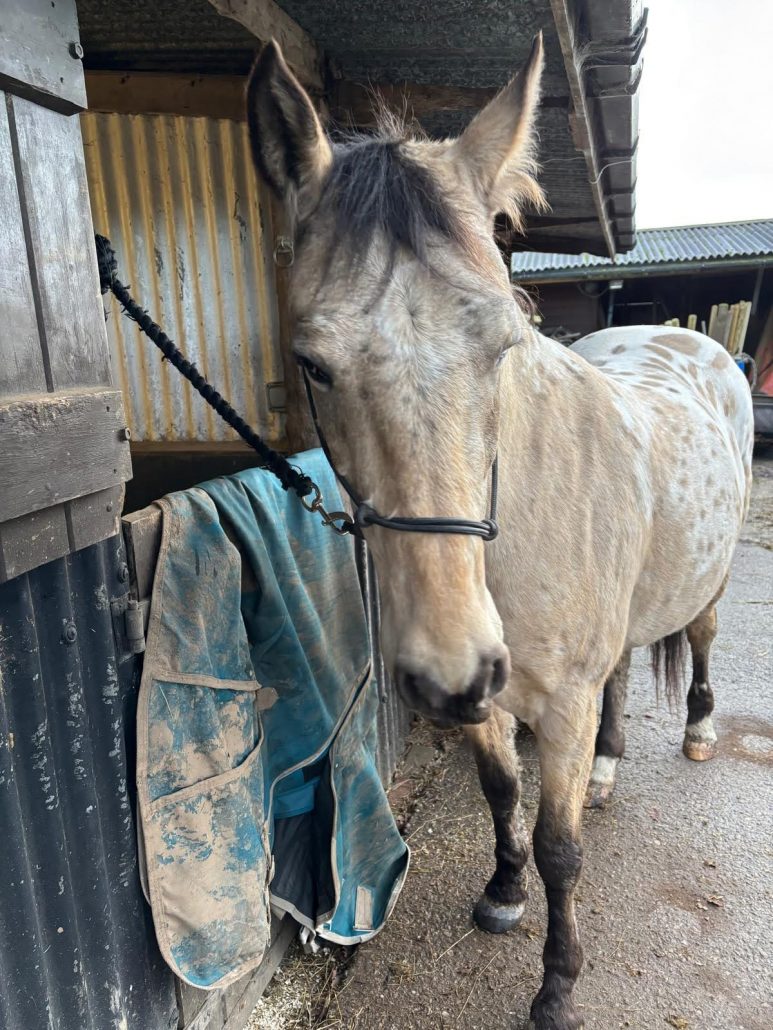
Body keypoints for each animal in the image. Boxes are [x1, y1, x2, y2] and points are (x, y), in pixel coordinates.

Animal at [246, 35, 754, 1030]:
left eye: (502, 343)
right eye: (312, 364)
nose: (452, 662)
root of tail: (699, 342)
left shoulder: (553, 705)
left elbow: (561, 849)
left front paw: (556, 985)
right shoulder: (486, 701)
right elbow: (499, 792)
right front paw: (504, 890)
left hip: (705, 590)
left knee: (703, 639)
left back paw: (700, 729)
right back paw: (608, 768)